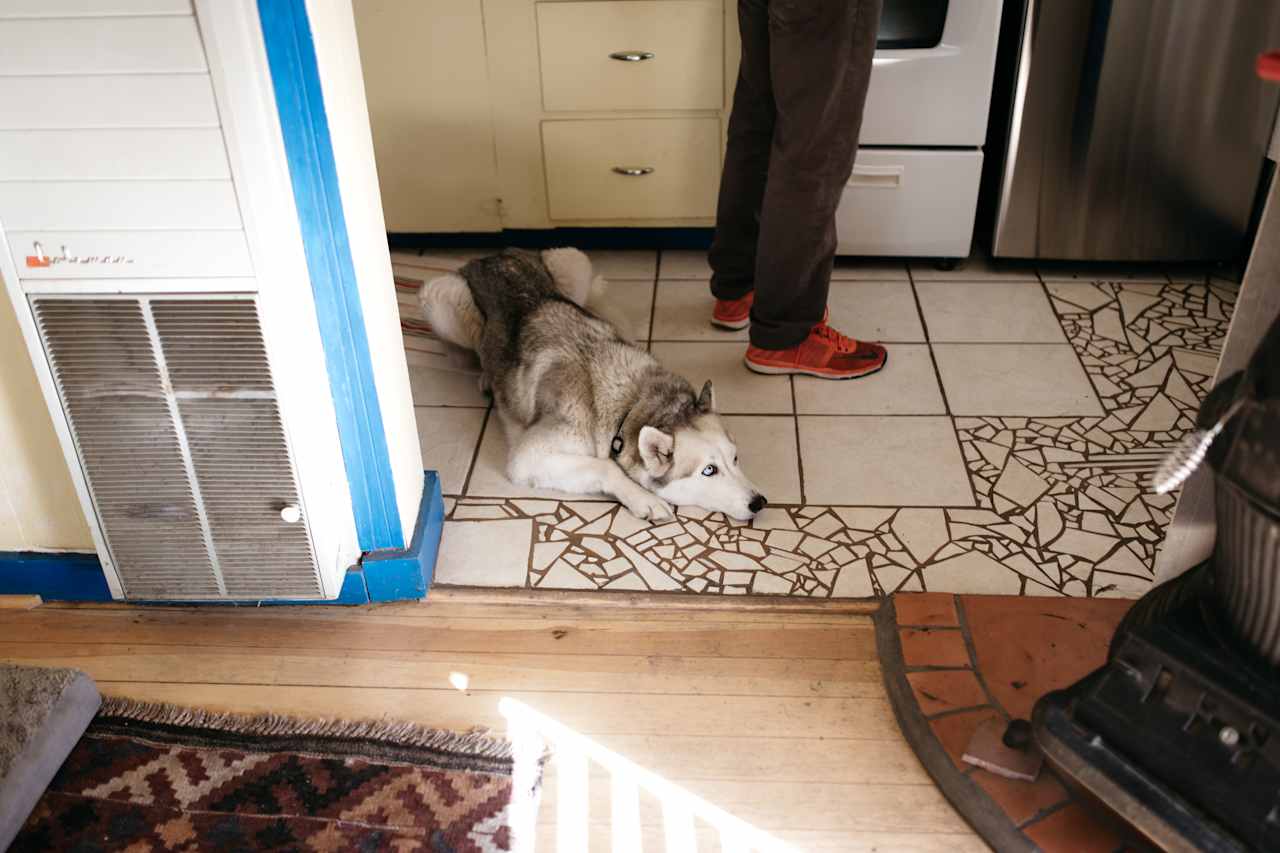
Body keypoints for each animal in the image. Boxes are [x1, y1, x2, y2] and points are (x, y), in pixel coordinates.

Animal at [419, 249, 762, 522]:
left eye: (735, 458)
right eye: (709, 470)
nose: (760, 502)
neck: (629, 404)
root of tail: (491, 255)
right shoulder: (527, 457)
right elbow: (605, 467)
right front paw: (644, 499)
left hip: (574, 263)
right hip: (439, 300)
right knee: (470, 349)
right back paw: (484, 376)